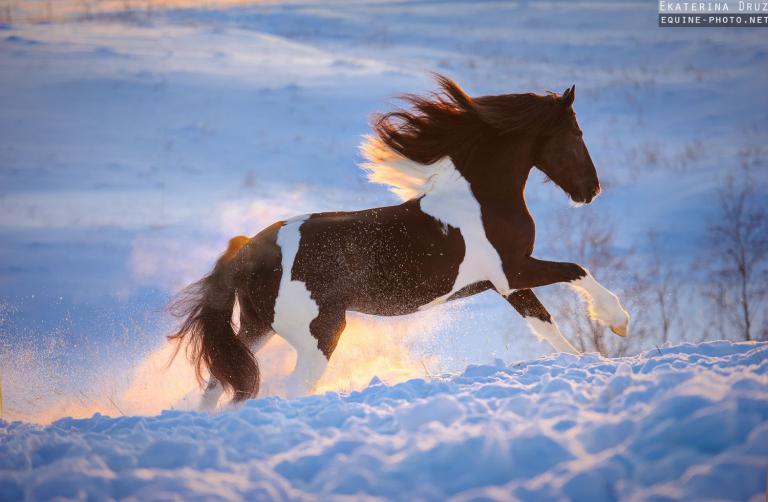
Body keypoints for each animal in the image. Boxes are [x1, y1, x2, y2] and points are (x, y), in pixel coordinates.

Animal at [170, 75, 630, 409]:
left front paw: (584, 358)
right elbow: (577, 270)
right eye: (576, 133)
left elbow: (545, 325)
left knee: (217, 384)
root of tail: (248, 251)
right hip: (321, 332)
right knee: (290, 388)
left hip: (255, 329)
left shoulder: (506, 285)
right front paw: (618, 320)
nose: (591, 190)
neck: (484, 200)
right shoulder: (514, 270)